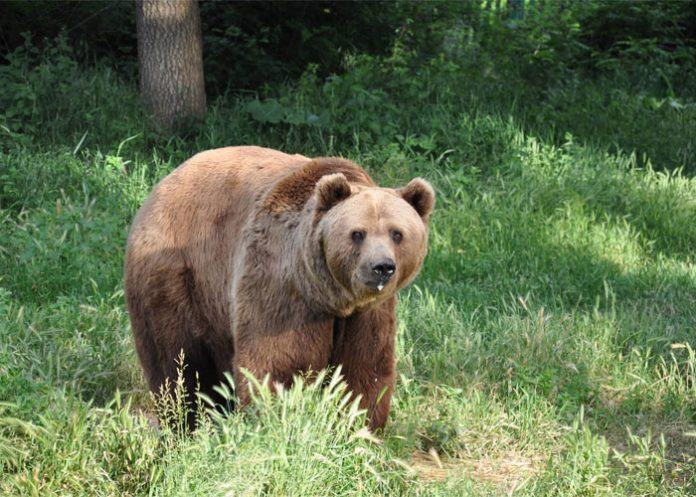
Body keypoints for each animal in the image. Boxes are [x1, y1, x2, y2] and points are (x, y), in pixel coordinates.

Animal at [124, 146, 434, 430]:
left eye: (397, 234)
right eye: (357, 233)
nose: (381, 267)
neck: (330, 296)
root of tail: (162, 185)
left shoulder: (368, 314)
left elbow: (363, 371)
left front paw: (357, 428)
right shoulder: (280, 286)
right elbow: (278, 366)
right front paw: (274, 420)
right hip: (177, 277)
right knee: (179, 362)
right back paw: (186, 422)